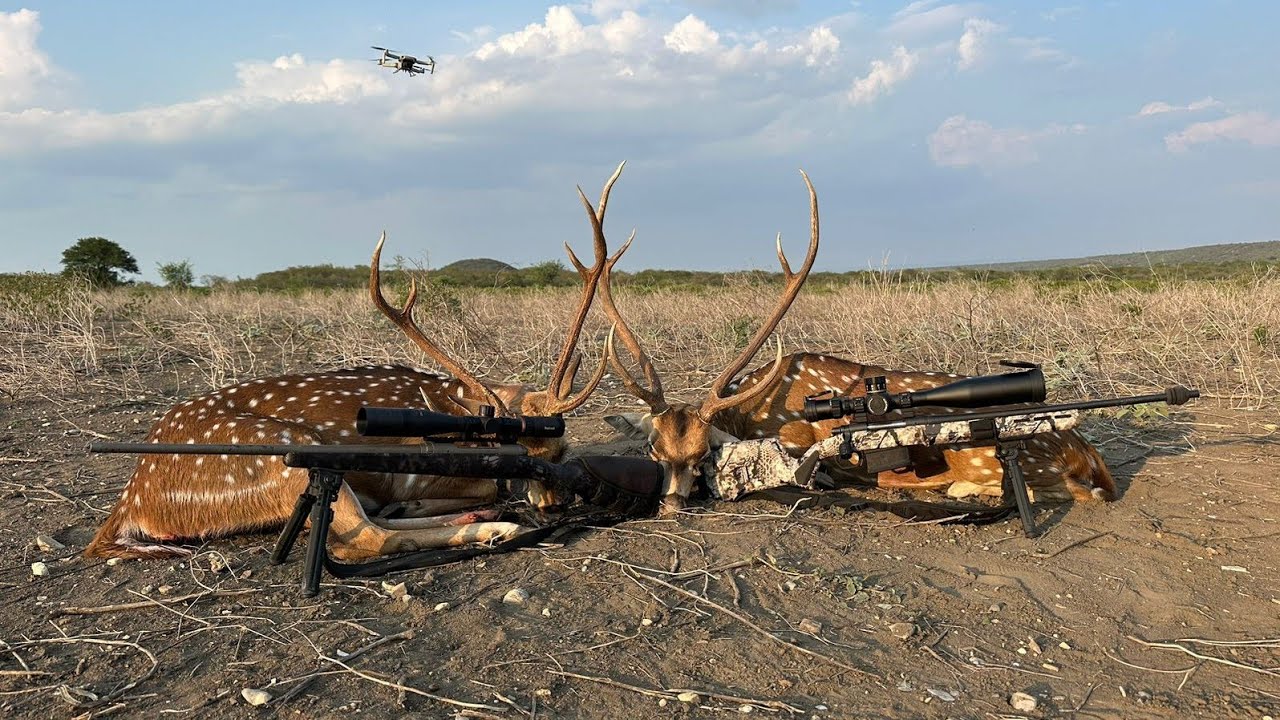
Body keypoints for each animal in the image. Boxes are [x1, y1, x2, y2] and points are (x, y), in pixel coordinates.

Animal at [85, 164, 628, 561]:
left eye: (561, 448)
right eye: (517, 452)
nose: (554, 505)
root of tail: (131, 501)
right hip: (285, 454)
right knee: (362, 537)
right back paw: (491, 528)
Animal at [600, 171, 1114, 512]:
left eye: (703, 452)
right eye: (654, 451)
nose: (670, 506)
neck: (753, 410)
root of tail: (1084, 451)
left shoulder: (794, 434)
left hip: (985, 452)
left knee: (1040, 489)